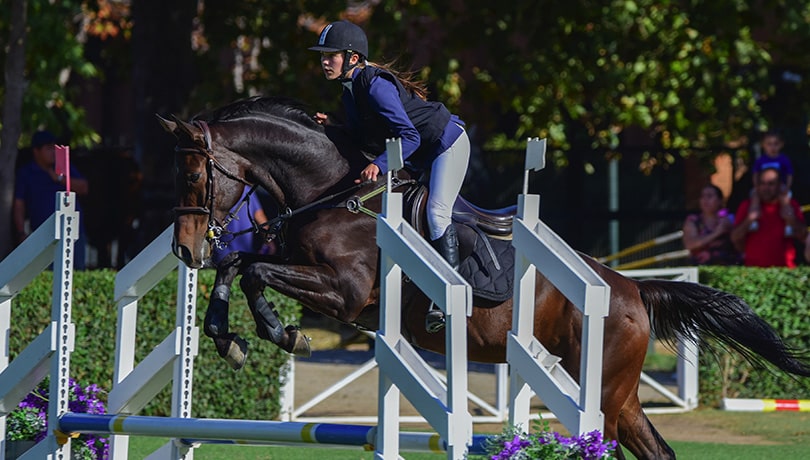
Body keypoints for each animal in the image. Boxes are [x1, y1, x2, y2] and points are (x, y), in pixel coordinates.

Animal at [161, 95, 808, 458]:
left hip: (600, 391)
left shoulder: (345, 294)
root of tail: (629, 288)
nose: (184, 250)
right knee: (657, 450)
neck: (332, 193)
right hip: (619, 394)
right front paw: (225, 336)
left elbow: (255, 271)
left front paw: (280, 333)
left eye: (193, 178)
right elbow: (239, 266)